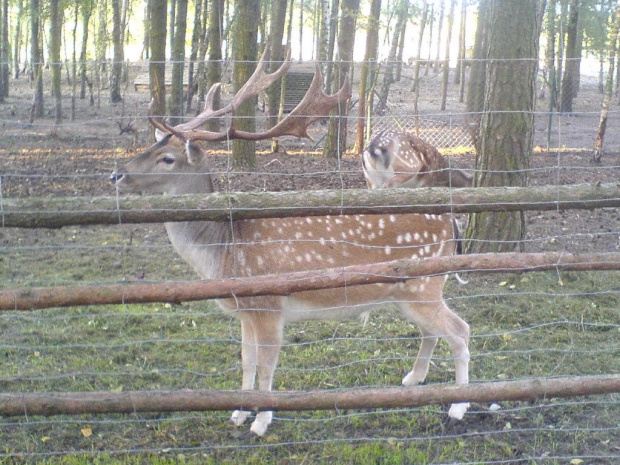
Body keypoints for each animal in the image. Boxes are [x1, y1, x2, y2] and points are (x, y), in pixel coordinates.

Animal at [111, 46, 470, 436]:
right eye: (152, 145)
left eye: (168, 158)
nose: (116, 174)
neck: (224, 251)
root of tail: (453, 224)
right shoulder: (246, 311)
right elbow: (246, 361)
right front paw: (238, 413)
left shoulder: (269, 304)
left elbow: (267, 365)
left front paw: (261, 421)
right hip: (408, 293)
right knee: (433, 332)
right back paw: (413, 379)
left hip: (424, 286)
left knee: (460, 330)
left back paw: (459, 407)